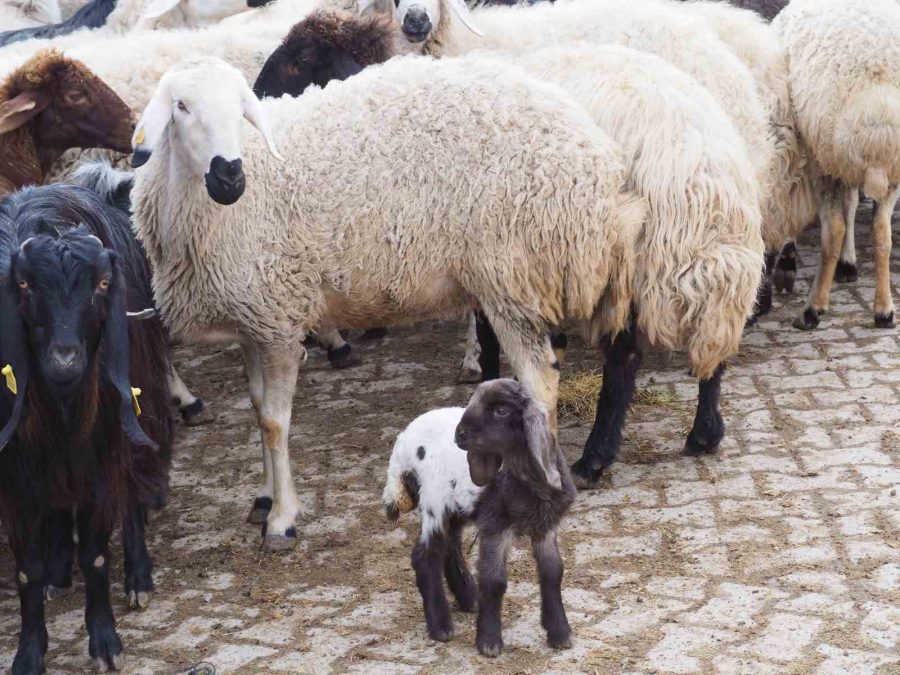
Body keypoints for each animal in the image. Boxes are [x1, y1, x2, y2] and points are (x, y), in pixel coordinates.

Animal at [0, 185, 171, 675]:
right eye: (24, 285)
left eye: (101, 285)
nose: (65, 359)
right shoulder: (17, 475)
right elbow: (27, 568)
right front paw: (29, 654)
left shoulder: (100, 457)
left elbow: (94, 555)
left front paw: (106, 643)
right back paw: (59, 571)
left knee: (132, 493)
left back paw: (137, 575)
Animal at [128, 54, 648, 548]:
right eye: (181, 106)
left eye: (241, 108)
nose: (230, 177)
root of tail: (597, 150)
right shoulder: (254, 320)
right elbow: (257, 411)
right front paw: (263, 496)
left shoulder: (280, 316)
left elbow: (275, 423)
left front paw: (282, 519)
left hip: (509, 274)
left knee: (540, 380)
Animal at [772, 0, 900, 330]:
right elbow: (853, 204)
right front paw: (849, 263)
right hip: (890, 167)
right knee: (881, 231)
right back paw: (884, 309)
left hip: (824, 158)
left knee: (834, 229)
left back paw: (813, 308)